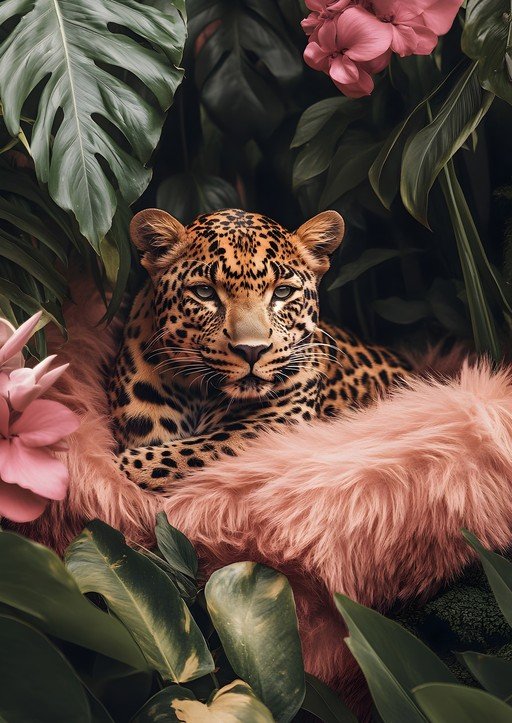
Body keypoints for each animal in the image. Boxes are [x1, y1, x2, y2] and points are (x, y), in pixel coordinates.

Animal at [108, 207, 411, 492]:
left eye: (282, 293)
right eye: (205, 292)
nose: (251, 351)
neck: (202, 396)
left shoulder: (277, 425)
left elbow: (190, 453)